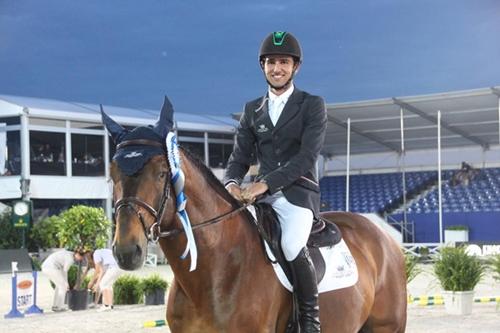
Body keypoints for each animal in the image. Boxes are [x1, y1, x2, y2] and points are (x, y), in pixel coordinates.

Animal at [102, 99, 406, 332]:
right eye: (112, 174)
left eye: (163, 173)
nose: (127, 251)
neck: (213, 272)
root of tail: (384, 236)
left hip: (387, 326)